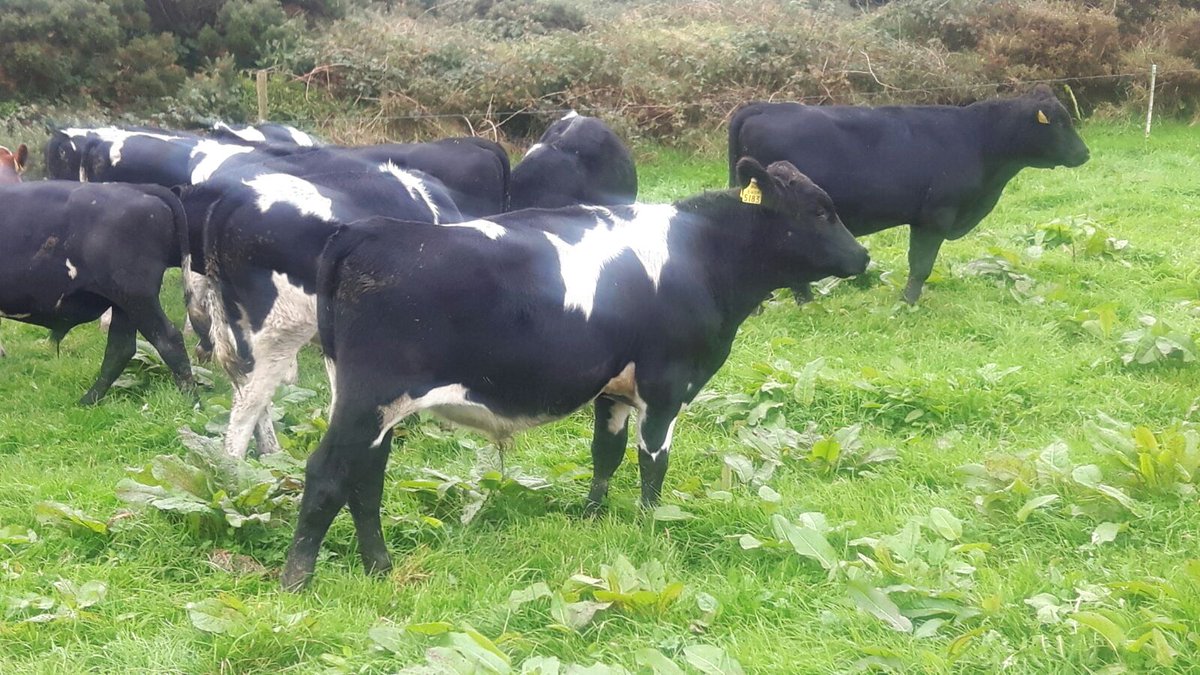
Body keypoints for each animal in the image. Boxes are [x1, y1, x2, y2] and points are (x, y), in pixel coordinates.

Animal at [0, 182, 195, 403]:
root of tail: (139, 187)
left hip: (136, 295)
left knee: (168, 339)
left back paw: (192, 401)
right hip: (124, 304)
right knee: (121, 348)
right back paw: (89, 400)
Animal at [279, 158, 870, 589]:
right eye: (820, 211)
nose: (863, 257)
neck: (700, 256)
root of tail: (368, 231)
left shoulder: (613, 387)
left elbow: (604, 453)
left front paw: (593, 515)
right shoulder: (665, 383)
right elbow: (652, 461)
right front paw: (651, 522)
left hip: (370, 403)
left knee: (366, 478)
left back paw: (379, 568)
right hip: (370, 396)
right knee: (329, 473)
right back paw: (297, 579)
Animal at [728, 85, 1090, 304]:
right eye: (1059, 123)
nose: (1085, 153)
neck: (977, 139)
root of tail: (760, 107)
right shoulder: (935, 216)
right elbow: (921, 264)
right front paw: (908, 302)